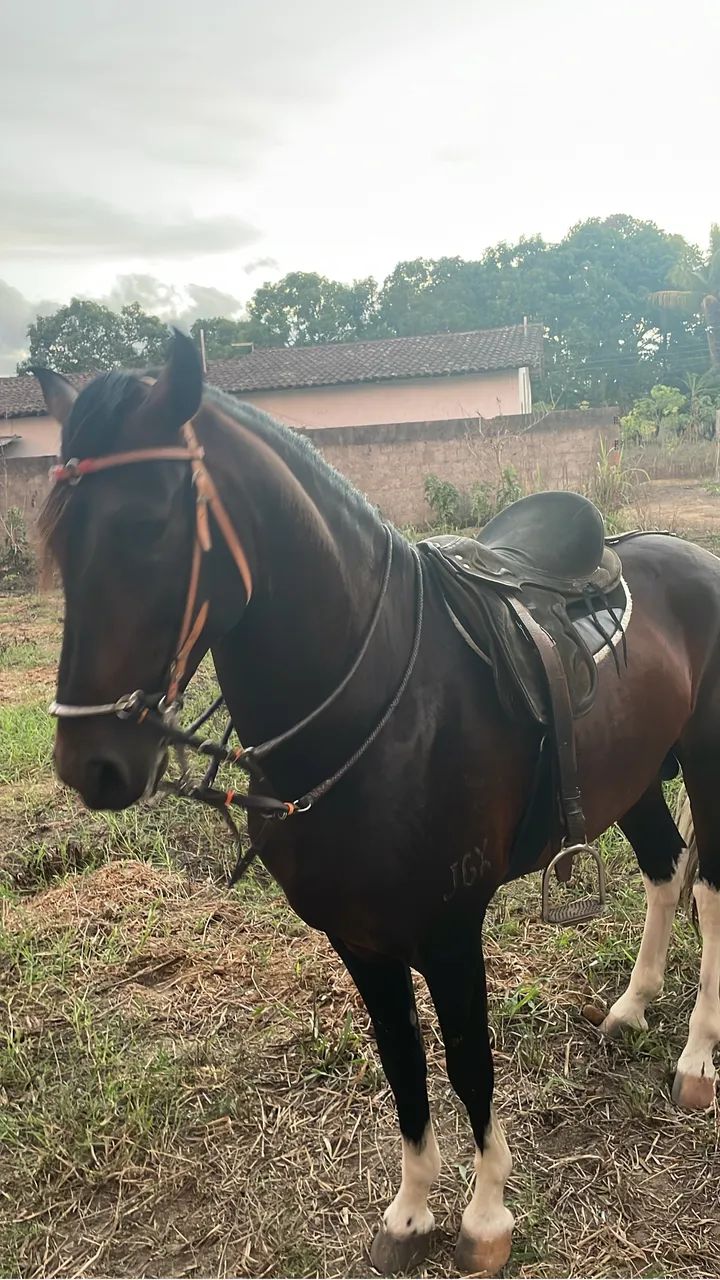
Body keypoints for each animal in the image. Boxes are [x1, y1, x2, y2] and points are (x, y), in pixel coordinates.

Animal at [33, 332, 720, 1277]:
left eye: (149, 527)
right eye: (60, 539)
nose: (89, 764)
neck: (374, 709)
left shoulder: (450, 929)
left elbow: (467, 1063)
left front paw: (486, 1217)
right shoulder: (357, 939)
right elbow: (403, 1067)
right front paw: (409, 1213)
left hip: (710, 767)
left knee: (708, 894)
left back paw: (697, 1057)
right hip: (637, 773)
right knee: (662, 872)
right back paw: (631, 1007)